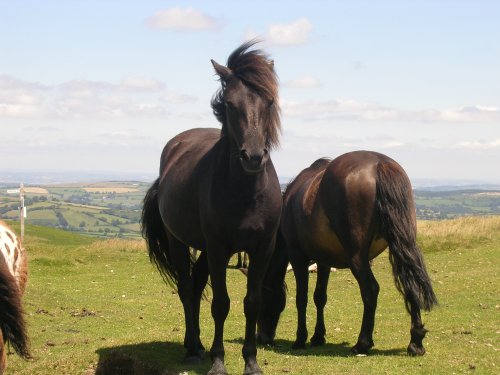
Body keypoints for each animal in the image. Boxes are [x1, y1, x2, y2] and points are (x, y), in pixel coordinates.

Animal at [142, 41, 282, 375]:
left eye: (269, 101)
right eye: (230, 104)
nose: (253, 157)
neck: (246, 193)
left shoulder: (263, 248)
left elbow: (251, 303)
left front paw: (251, 361)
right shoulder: (219, 249)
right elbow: (221, 304)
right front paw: (218, 361)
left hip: (204, 249)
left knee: (194, 288)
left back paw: (195, 345)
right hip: (179, 242)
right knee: (185, 289)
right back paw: (193, 350)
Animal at [258, 151, 438, 356]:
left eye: (262, 300)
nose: (262, 338)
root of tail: (380, 164)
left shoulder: (298, 258)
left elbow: (301, 298)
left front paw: (300, 339)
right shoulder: (323, 261)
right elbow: (320, 297)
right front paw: (318, 336)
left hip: (357, 257)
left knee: (370, 289)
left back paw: (362, 343)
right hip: (402, 244)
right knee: (411, 284)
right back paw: (416, 341)